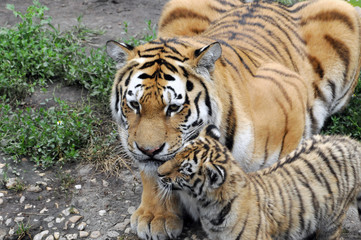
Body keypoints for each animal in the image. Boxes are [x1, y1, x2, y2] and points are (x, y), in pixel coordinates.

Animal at [106, 0, 360, 238]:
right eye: (134, 105)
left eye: (174, 108)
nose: (149, 150)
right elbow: (151, 172)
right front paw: (155, 216)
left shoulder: (289, 89)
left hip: (344, 11)